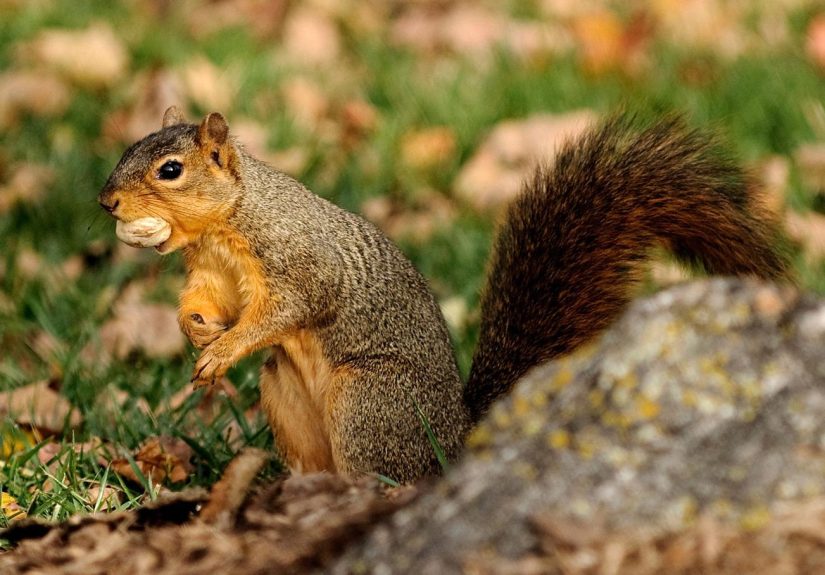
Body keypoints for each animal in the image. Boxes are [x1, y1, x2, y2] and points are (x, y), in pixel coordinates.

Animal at [99, 107, 789, 483]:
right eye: (127, 149)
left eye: (170, 171)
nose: (106, 202)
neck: (226, 224)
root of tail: (458, 438)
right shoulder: (212, 272)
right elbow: (206, 301)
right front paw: (195, 330)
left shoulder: (299, 261)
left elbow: (289, 308)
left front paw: (225, 347)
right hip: (286, 398)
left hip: (368, 399)